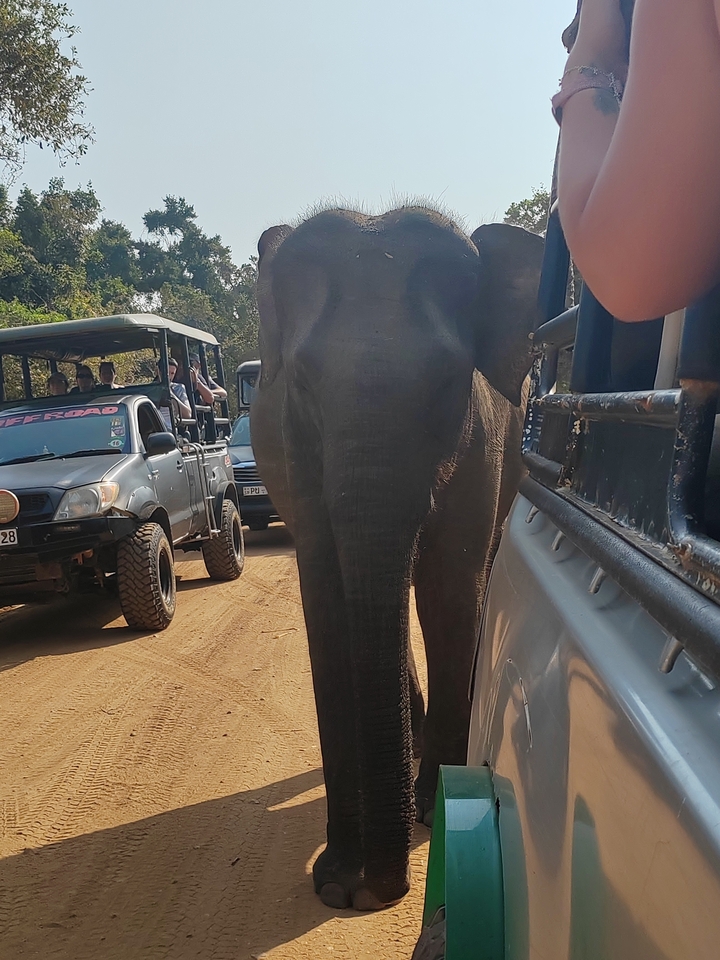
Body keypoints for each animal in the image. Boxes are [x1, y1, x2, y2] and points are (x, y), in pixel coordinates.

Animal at [252, 207, 545, 911]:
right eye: (302, 383)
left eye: (445, 384)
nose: (374, 894)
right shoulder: (295, 452)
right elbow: (327, 602)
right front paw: (335, 880)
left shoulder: (481, 444)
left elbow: (449, 587)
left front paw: (431, 810)